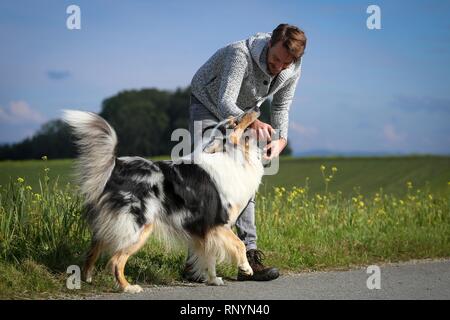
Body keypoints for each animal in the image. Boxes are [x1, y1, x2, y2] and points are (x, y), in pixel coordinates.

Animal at [63, 108, 264, 292]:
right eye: (234, 123)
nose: (254, 109)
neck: (231, 156)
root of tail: (117, 165)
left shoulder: (205, 230)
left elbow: (210, 256)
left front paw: (213, 280)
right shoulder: (216, 222)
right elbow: (239, 244)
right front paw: (246, 268)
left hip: (111, 224)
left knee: (93, 250)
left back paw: (87, 279)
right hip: (138, 227)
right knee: (115, 261)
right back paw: (128, 287)